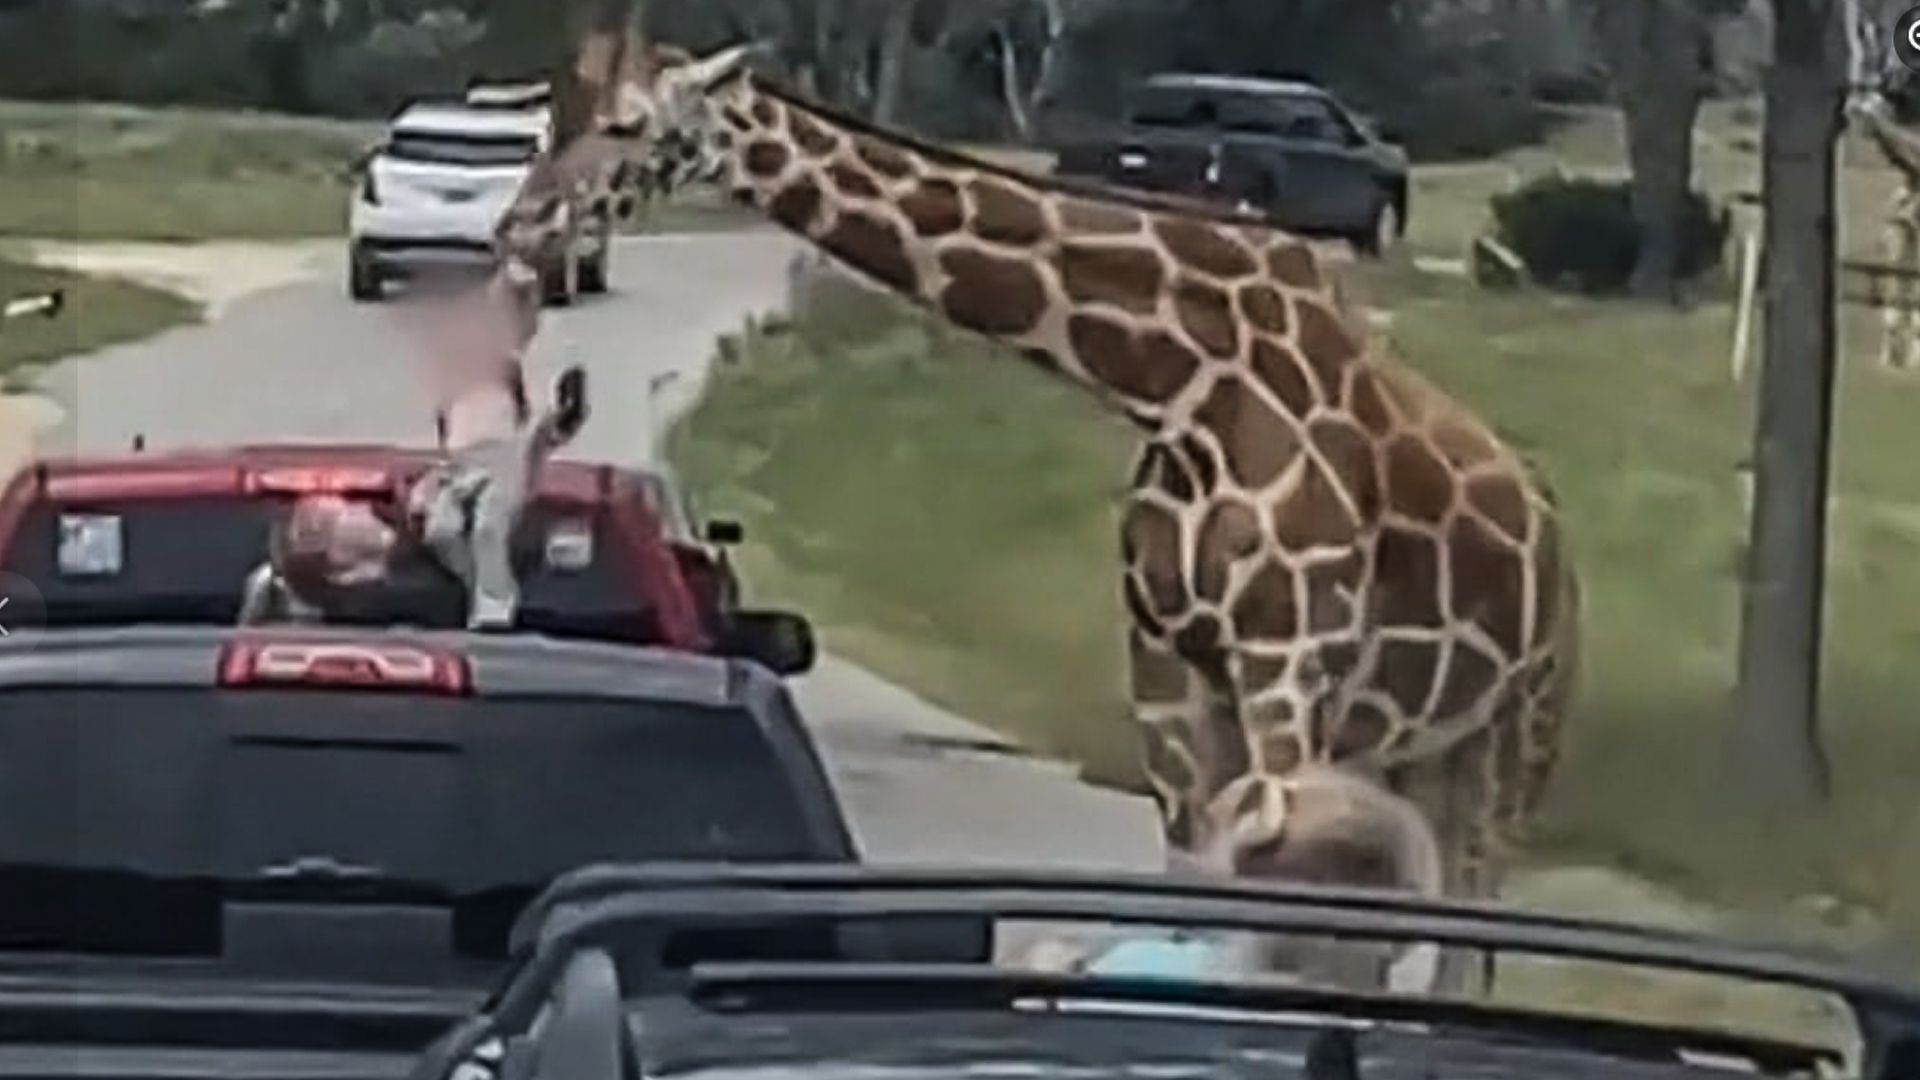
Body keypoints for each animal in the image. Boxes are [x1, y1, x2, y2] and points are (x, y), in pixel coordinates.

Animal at [602, 43, 1583, 991]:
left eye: (626, 124)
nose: (567, 195)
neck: (1184, 386)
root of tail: (1554, 533)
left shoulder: (1289, 662)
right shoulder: (1168, 666)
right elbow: (1192, 877)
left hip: (1517, 735)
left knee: (1472, 928)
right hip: (1417, 743)